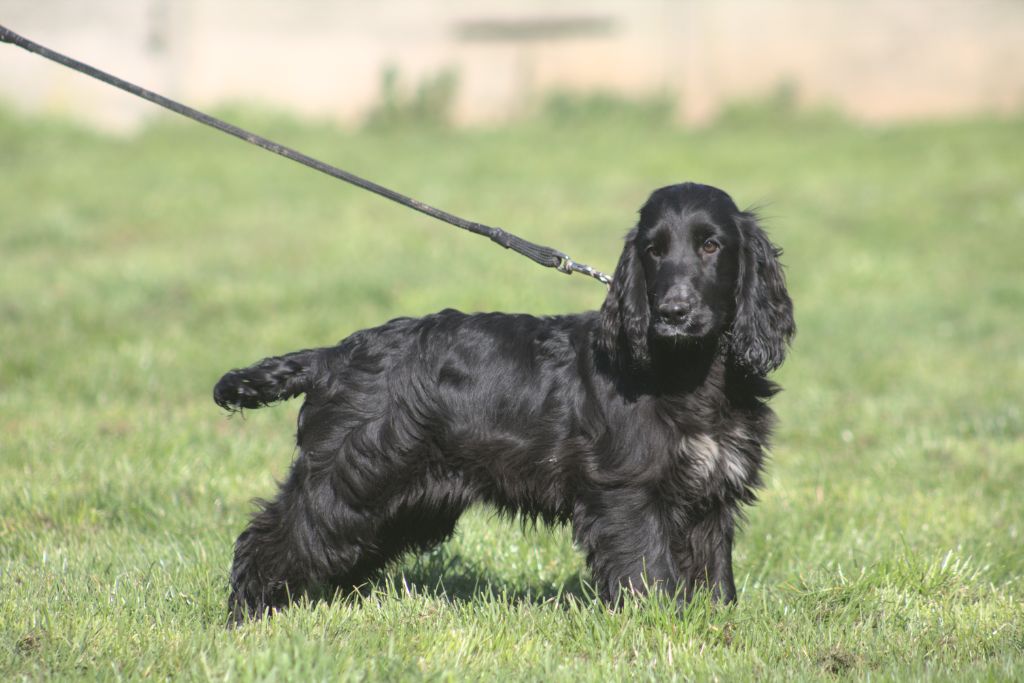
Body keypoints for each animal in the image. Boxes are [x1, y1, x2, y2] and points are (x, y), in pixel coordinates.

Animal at [214, 181, 790, 626]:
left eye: (711, 246)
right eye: (653, 250)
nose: (672, 312)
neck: (689, 374)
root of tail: (332, 356)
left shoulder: (710, 497)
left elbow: (713, 574)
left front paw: (715, 628)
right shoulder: (628, 494)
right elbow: (649, 574)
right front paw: (659, 628)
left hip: (406, 499)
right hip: (348, 478)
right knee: (273, 537)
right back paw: (248, 615)